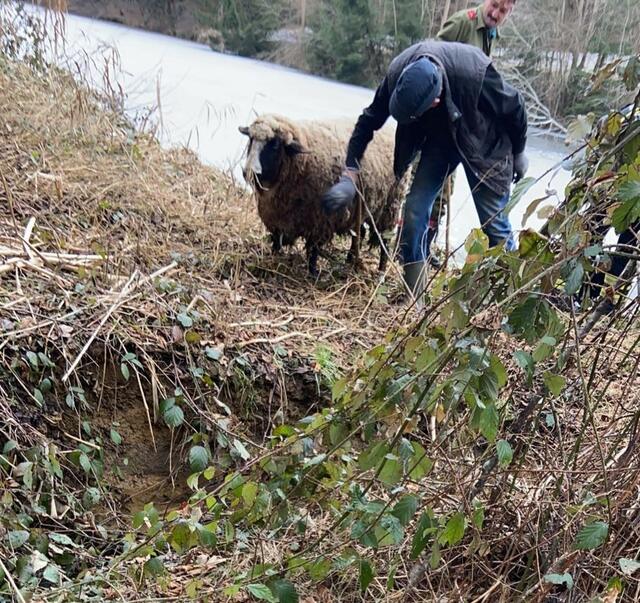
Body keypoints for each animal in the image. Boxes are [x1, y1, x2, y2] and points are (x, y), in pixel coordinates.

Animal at [238, 114, 406, 276]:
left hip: (389, 208)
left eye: (274, 144)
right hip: (358, 210)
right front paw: (273, 260)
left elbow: (313, 250)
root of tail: (389, 129)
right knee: (359, 234)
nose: (248, 172)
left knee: (385, 242)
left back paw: (381, 272)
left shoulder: (320, 221)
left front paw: (312, 274)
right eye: (251, 139)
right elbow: (276, 243)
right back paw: (350, 261)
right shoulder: (276, 218)